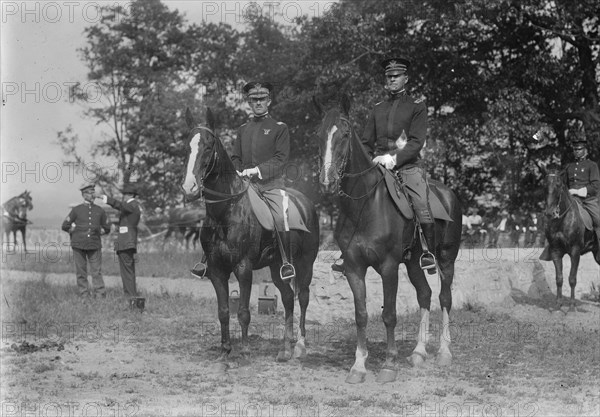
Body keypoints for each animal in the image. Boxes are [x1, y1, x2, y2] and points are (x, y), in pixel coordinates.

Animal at [180, 108, 322, 368]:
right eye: (188, 146)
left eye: (208, 146)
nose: (189, 188)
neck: (226, 211)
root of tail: (306, 203)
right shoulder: (217, 270)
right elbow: (223, 311)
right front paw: (225, 350)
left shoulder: (243, 267)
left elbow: (244, 312)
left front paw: (244, 351)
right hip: (277, 266)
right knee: (288, 298)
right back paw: (285, 349)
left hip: (305, 263)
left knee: (303, 297)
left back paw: (299, 347)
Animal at [540, 168, 596, 308]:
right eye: (544, 186)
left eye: (558, 185)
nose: (549, 213)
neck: (562, 220)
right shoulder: (556, 251)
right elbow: (559, 278)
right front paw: (559, 303)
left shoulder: (575, 252)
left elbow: (572, 278)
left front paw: (572, 305)